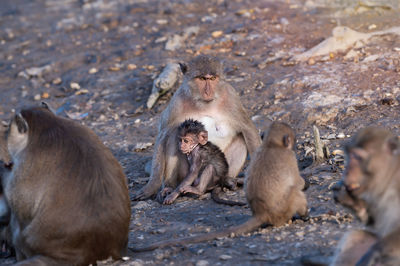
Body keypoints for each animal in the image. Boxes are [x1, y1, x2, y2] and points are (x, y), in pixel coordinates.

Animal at [0, 105, 130, 264]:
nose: (5, 135)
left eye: (8, 131)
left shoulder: (26, 162)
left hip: (27, 244)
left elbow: (21, 205)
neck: (48, 126)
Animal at [130, 121, 308, 250]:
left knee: (208, 168)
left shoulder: (197, 153)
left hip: (215, 180)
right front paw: (169, 189)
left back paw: (197, 190)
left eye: (187, 140)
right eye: (181, 140)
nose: (181, 146)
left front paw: (174, 193)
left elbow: (193, 172)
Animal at [132, 54, 262, 200]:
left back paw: (228, 181)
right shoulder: (177, 102)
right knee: (172, 136)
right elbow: (163, 135)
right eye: (202, 79)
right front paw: (151, 187)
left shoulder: (231, 98)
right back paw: (170, 186)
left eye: (212, 78)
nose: (208, 91)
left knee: (240, 139)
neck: (204, 103)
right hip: (184, 175)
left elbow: (247, 129)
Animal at [332, 127, 400, 266]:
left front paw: (376, 250)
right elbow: (371, 221)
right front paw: (348, 198)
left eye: (358, 157)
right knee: (355, 237)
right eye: (350, 155)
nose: (346, 171)